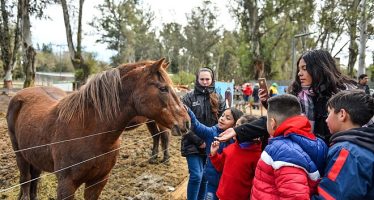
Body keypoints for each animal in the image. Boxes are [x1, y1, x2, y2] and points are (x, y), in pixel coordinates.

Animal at [6, 58, 190, 200]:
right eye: (163, 88)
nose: (186, 122)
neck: (89, 132)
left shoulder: (98, 181)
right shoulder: (66, 185)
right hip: (20, 155)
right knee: (26, 181)